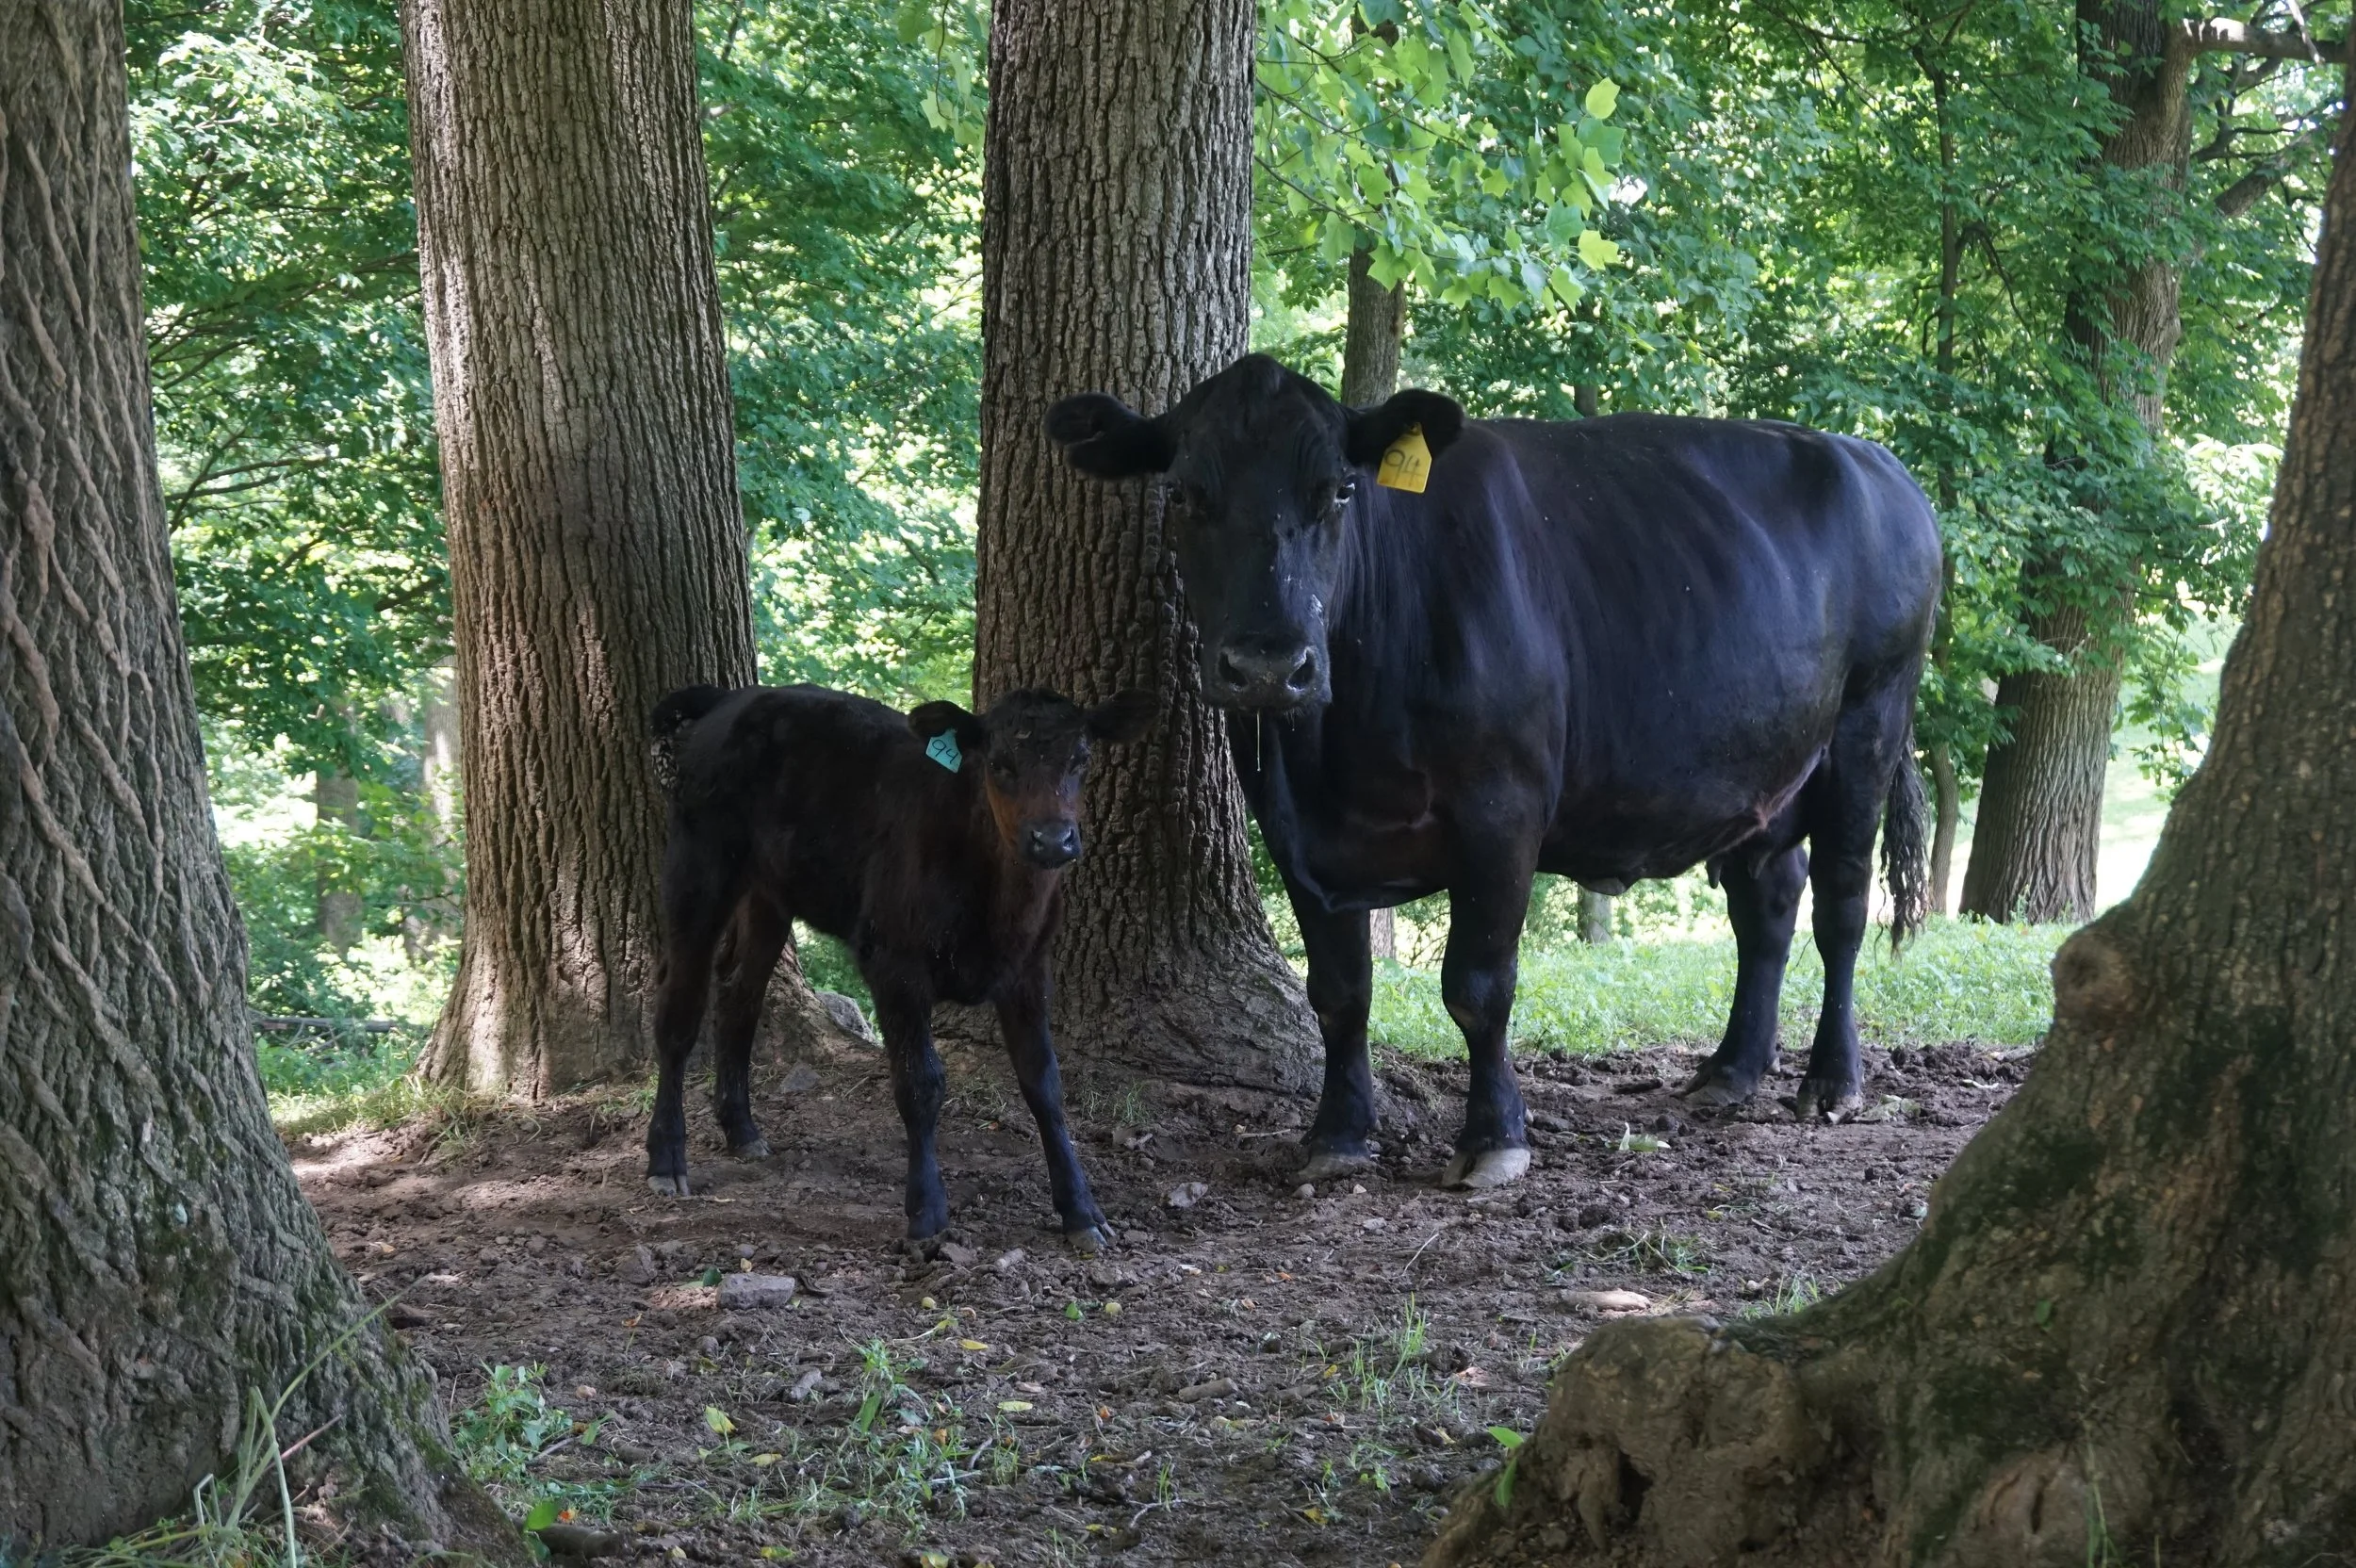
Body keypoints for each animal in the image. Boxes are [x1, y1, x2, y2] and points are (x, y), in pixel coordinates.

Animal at [642, 682, 1155, 1250]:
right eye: (998, 763)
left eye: (1081, 759)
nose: (1052, 839)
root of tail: (732, 698)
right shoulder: (894, 962)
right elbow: (920, 1083)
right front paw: (926, 1213)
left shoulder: (1028, 970)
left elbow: (1044, 1083)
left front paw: (1082, 1212)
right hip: (698, 866)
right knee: (678, 1014)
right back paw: (666, 1160)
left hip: (770, 894)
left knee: (740, 995)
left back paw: (743, 1131)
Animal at [1046, 353, 1938, 1189]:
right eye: (1184, 494)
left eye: (1338, 491)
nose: (1269, 666)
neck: (1339, 750)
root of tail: (1880, 463)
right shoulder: (1291, 826)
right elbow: (1338, 992)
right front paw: (1337, 1135)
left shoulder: (1503, 810)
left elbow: (1478, 986)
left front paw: (1494, 1140)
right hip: (1763, 771)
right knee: (1768, 906)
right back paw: (1730, 1071)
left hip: (1870, 722)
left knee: (1841, 908)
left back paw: (1832, 1082)